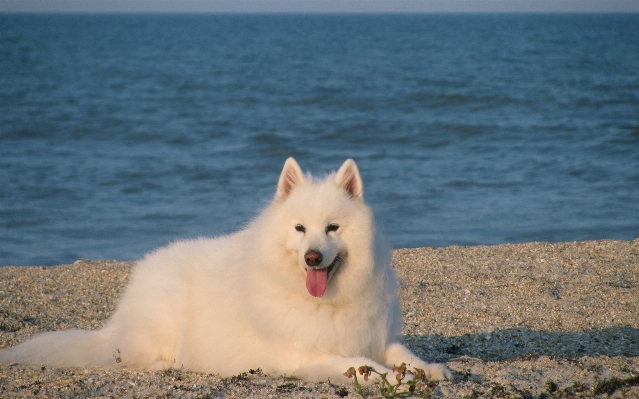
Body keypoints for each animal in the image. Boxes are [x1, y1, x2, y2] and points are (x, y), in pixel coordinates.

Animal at [0, 158, 450, 382]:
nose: (312, 257)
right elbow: (367, 366)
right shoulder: (311, 353)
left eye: (332, 228)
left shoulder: (373, 335)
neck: (326, 302)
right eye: (300, 229)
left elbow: (402, 353)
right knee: (134, 356)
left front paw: (431, 369)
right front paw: (397, 379)